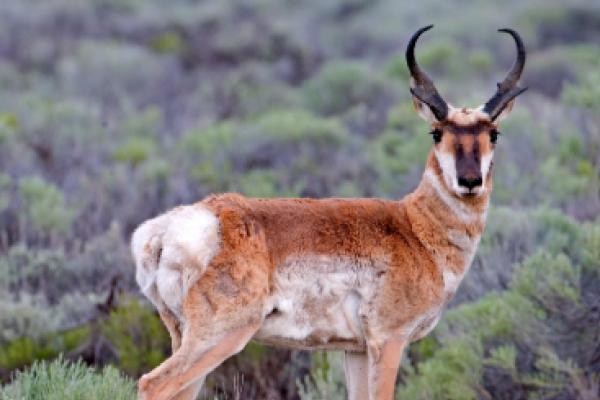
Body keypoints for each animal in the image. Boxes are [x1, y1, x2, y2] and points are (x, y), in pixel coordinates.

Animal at [131, 25, 524, 400]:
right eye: (436, 133)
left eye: (494, 134)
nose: (469, 181)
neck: (415, 228)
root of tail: (172, 227)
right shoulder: (388, 342)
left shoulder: (357, 351)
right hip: (222, 335)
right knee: (152, 384)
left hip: (185, 336)